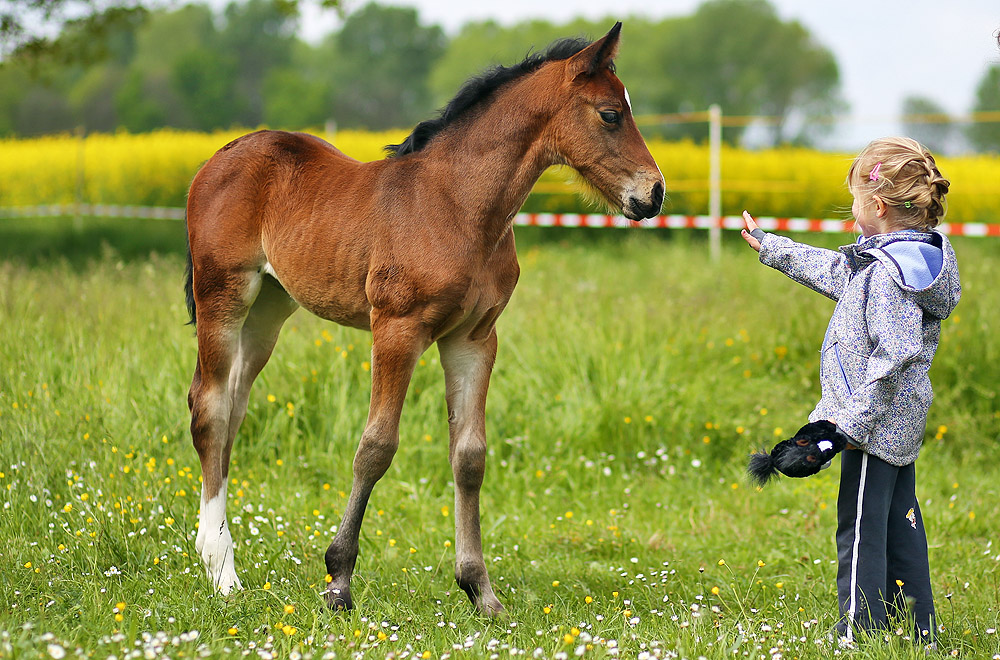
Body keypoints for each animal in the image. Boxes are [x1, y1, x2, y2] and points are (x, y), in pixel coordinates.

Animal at [185, 21, 668, 620]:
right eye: (610, 114)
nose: (654, 193)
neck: (457, 205)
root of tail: (222, 156)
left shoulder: (474, 339)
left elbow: (470, 456)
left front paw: (480, 590)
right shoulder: (397, 328)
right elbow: (375, 447)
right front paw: (339, 582)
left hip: (269, 310)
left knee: (233, 407)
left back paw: (214, 552)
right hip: (223, 293)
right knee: (210, 408)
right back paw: (222, 572)